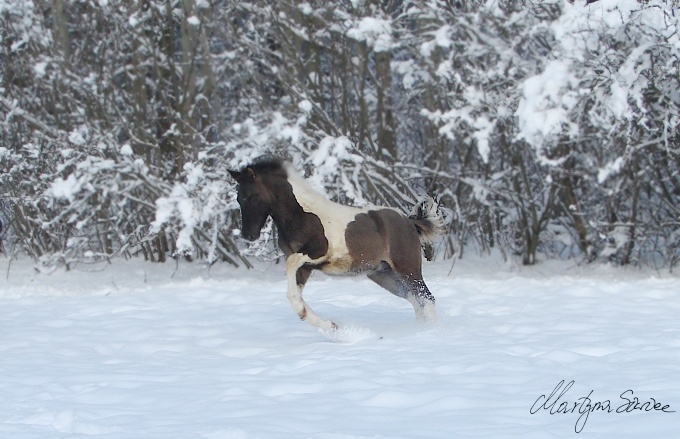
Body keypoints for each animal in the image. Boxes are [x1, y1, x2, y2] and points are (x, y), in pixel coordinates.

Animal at [230, 160, 446, 332]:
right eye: (239, 198)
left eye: (252, 196)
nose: (248, 234)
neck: (301, 216)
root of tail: (409, 222)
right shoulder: (306, 268)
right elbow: (295, 295)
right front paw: (329, 326)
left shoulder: (316, 253)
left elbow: (291, 267)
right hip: (383, 274)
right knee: (415, 298)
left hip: (407, 268)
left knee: (427, 298)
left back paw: (429, 332)